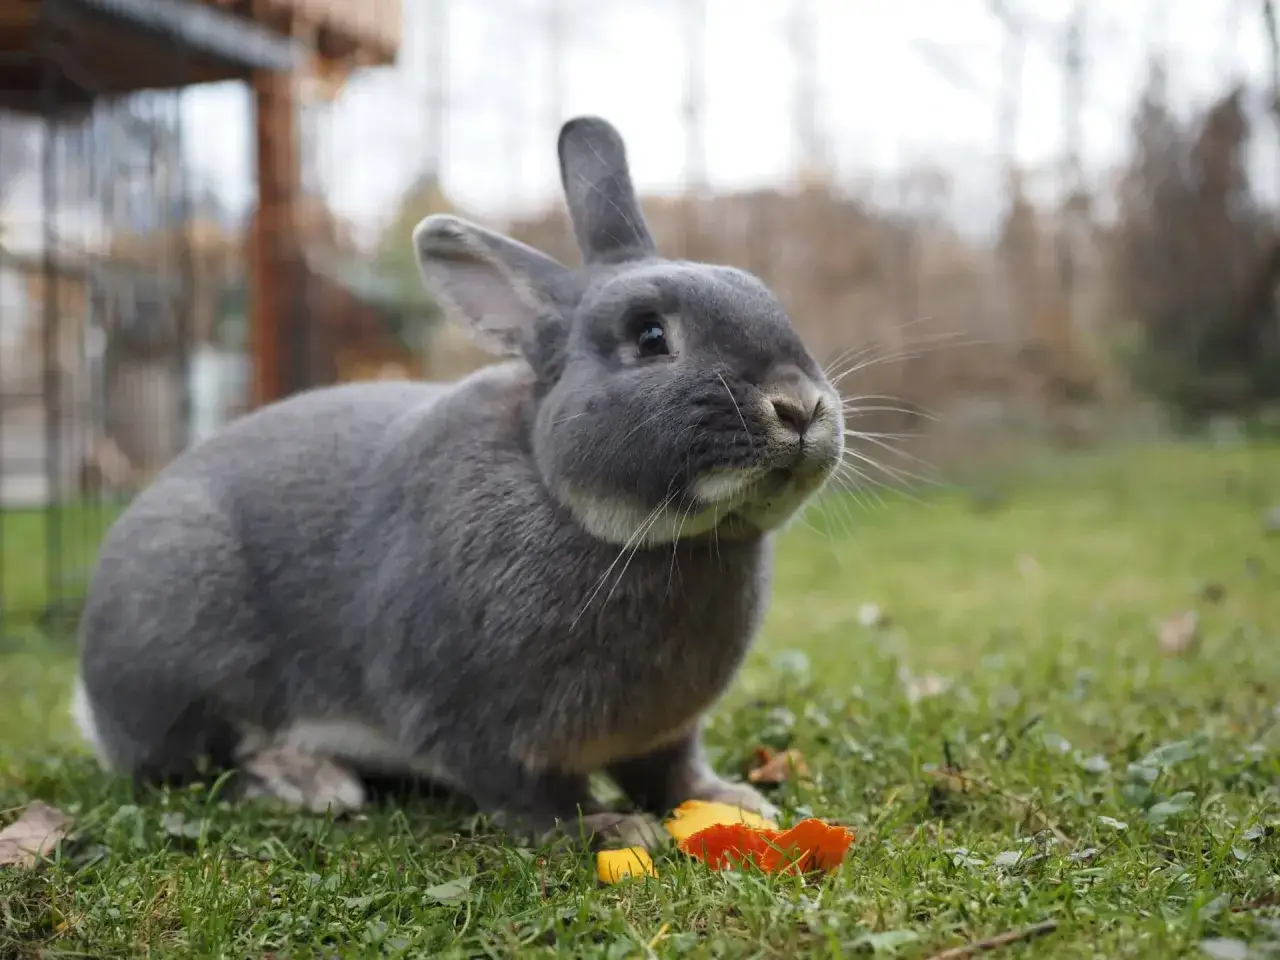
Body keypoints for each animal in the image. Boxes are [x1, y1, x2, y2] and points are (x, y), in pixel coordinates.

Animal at [70, 116, 845, 850]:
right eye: (650, 336)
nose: (800, 406)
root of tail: (91, 697)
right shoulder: (476, 722)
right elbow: (529, 792)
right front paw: (607, 830)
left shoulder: (662, 733)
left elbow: (673, 771)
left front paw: (732, 802)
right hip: (184, 629)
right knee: (200, 759)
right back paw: (309, 782)